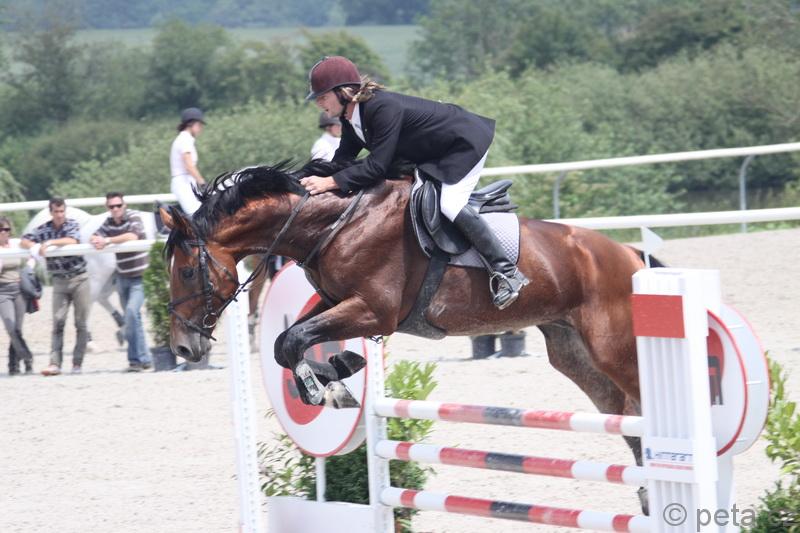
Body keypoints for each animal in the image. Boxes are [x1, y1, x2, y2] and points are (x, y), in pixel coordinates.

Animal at [160, 162, 651, 477]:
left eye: (185, 271)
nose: (183, 346)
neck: (334, 224)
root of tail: (628, 255)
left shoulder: (373, 310)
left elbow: (294, 339)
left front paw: (324, 387)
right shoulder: (338, 302)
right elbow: (287, 340)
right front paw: (338, 372)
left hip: (614, 350)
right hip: (574, 354)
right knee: (627, 417)